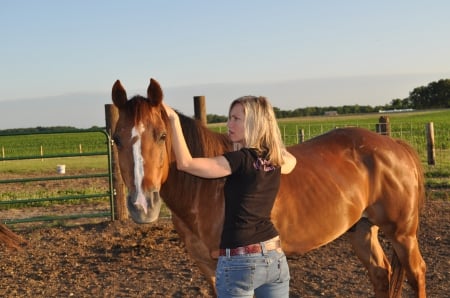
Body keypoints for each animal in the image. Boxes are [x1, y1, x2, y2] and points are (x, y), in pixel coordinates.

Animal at [111, 78, 426, 298]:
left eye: (162, 135)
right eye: (116, 139)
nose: (142, 205)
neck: (205, 189)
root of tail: (393, 144)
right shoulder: (210, 270)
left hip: (402, 235)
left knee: (416, 274)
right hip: (362, 230)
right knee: (381, 274)